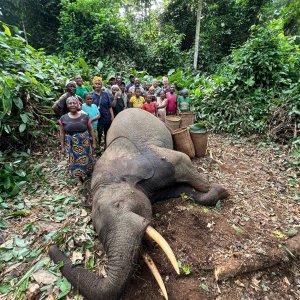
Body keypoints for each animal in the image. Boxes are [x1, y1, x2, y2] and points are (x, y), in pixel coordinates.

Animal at [49, 108, 229, 300]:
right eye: (96, 232)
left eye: (119, 205)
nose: (51, 247)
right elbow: (179, 191)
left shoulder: (158, 159)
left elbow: (183, 161)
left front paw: (220, 190)